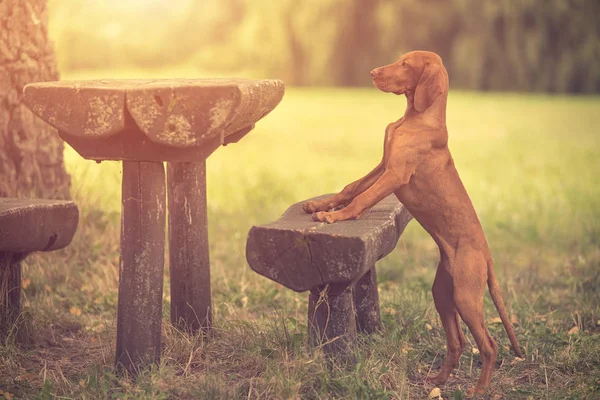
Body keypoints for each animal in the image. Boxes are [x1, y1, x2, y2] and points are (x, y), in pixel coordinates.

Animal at [302, 50, 524, 396]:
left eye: (406, 64)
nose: (372, 72)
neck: (416, 118)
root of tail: (486, 254)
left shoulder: (395, 173)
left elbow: (362, 199)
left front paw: (335, 216)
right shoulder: (383, 165)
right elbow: (352, 187)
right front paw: (320, 205)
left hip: (466, 296)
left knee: (488, 345)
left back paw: (478, 390)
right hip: (443, 293)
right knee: (458, 342)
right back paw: (438, 381)